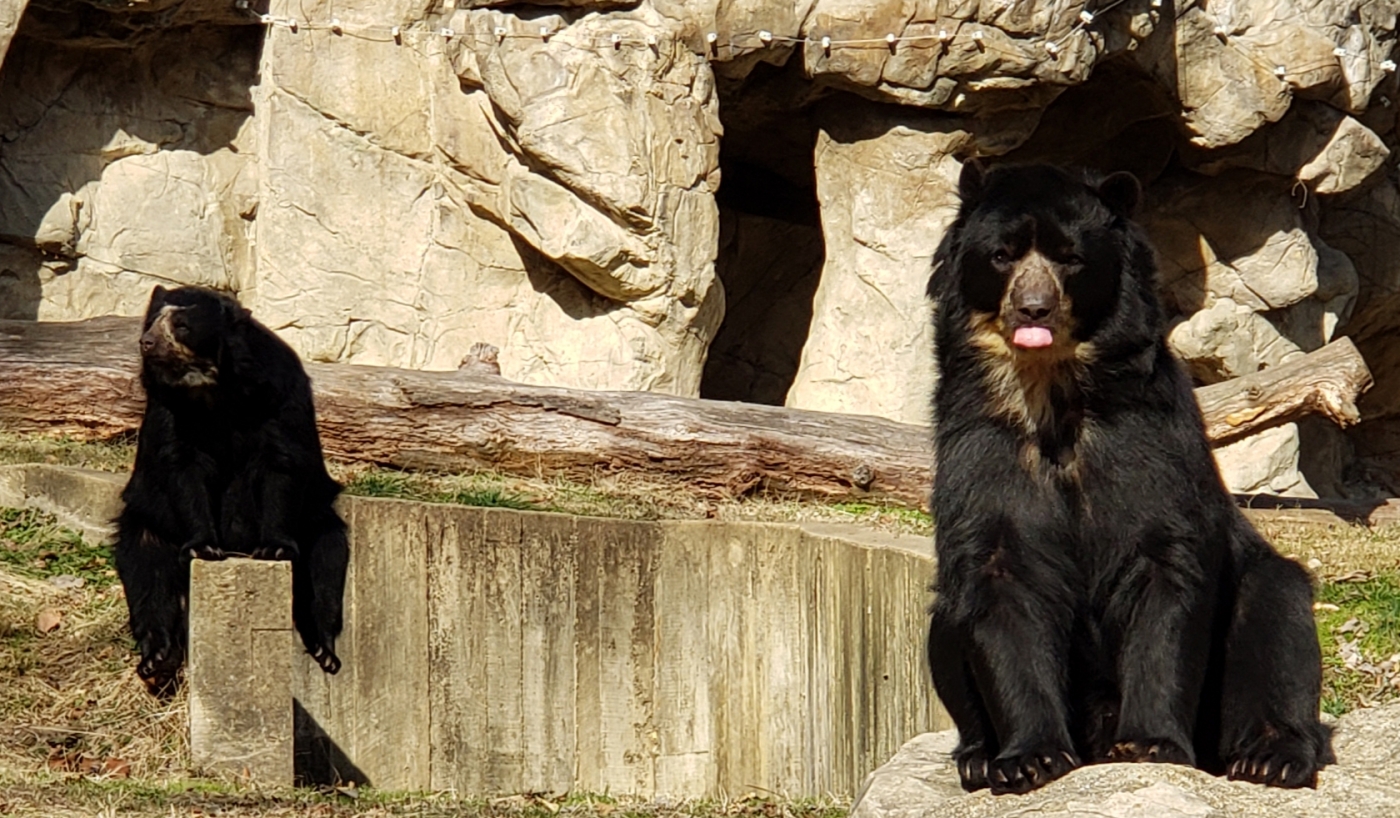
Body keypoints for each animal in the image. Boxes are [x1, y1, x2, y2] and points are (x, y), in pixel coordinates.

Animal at [119, 284, 350, 694]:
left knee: (327, 558)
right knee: (146, 572)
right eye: (152, 322)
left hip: (314, 519)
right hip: (151, 522)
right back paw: (157, 658)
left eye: (182, 325)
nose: (147, 342)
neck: (209, 389)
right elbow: (182, 467)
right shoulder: (170, 409)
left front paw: (273, 548)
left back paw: (324, 649)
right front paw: (204, 546)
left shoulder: (276, 392)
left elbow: (280, 462)